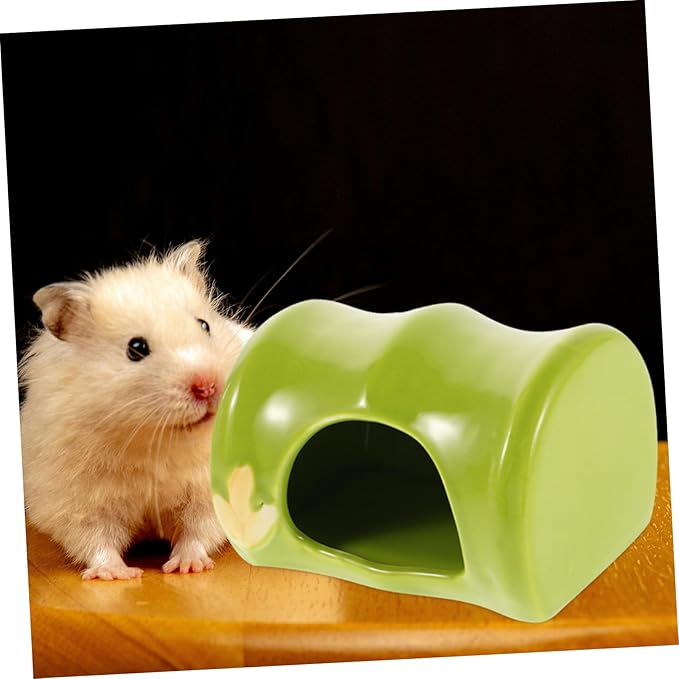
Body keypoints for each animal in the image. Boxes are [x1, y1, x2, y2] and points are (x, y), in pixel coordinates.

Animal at [18, 240, 253, 580]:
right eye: (136, 348)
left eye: (205, 325)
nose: (208, 386)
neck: (157, 441)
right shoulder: (76, 501)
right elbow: (95, 539)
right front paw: (117, 574)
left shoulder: (207, 491)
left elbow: (198, 529)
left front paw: (186, 567)